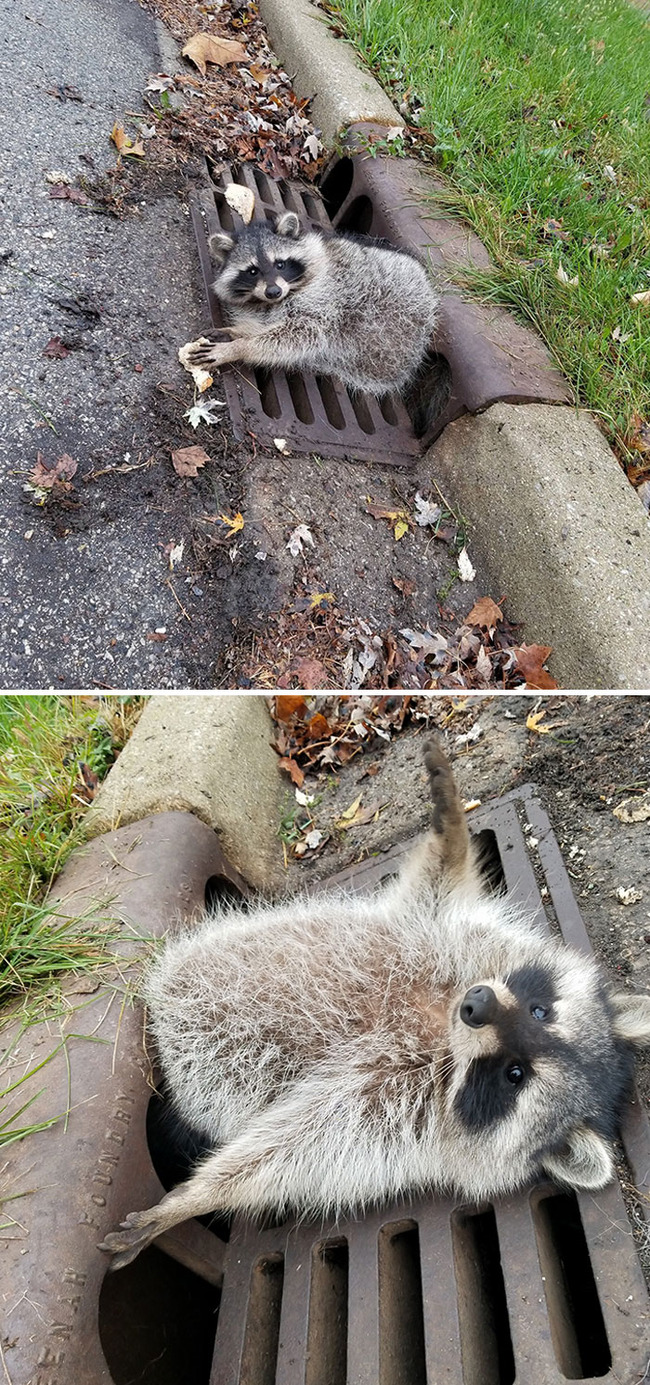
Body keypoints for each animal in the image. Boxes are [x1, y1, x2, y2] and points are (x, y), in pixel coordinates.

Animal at [100, 742, 650, 1271]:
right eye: (541, 1011)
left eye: (515, 1075)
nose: (479, 1004)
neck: (441, 1023)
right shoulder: (442, 934)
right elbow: (436, 884)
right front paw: (451, 822)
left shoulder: (386, 1117)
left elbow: (287, 1149)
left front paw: (192, 1197)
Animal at [184, 211, 441, 409]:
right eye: (253, 271)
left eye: (280, 264)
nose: (273, 291)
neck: (274, 301)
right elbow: (267, 325)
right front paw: (235, 332)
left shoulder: (326, 300)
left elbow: (302, 335)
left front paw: (238, 347)